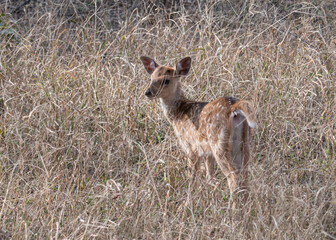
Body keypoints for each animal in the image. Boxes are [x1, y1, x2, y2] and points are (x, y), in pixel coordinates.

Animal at [140, 55, 256, 199]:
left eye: (166, 80)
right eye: (151, 77)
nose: (148, 92)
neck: (179, 114)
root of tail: (234, 108)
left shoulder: (190, 146)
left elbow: (193, 176)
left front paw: (189, 196)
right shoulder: (207, 152)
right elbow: (210, 177)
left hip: (219, 143)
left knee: (233, 175)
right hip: (243, 142)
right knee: (245, 174)